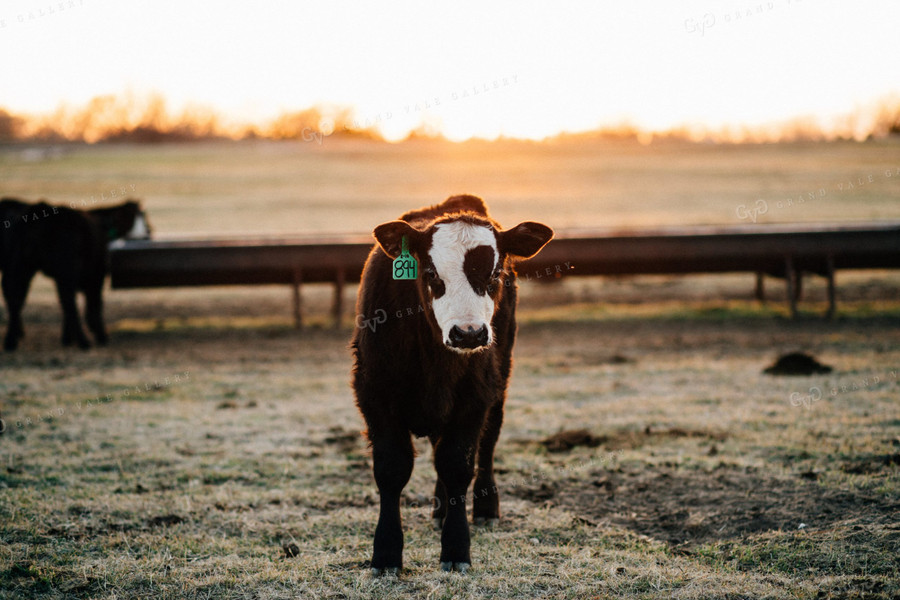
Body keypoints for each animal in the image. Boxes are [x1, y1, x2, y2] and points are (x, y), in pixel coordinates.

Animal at [0, 197, 151, 352]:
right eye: (136, 218)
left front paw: (67, 338)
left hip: (21, 265)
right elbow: (94, 305)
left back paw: (10, 341)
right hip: (65, 269)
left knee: (16, 298)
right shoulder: (96, 275)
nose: (147, 234)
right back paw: (84, 341)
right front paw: (100, 335)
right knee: (69, 302)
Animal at [354, 195, 556, 576]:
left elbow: (458, 465)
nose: (468, 333)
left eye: (495, 274)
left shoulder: (474, 398)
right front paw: (386, 554)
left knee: (487, 444)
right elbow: (392, 469)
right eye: (431, 274)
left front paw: (456, 548)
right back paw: (439, 508)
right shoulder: (375, 394)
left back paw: (485, 510)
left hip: (500, 383)